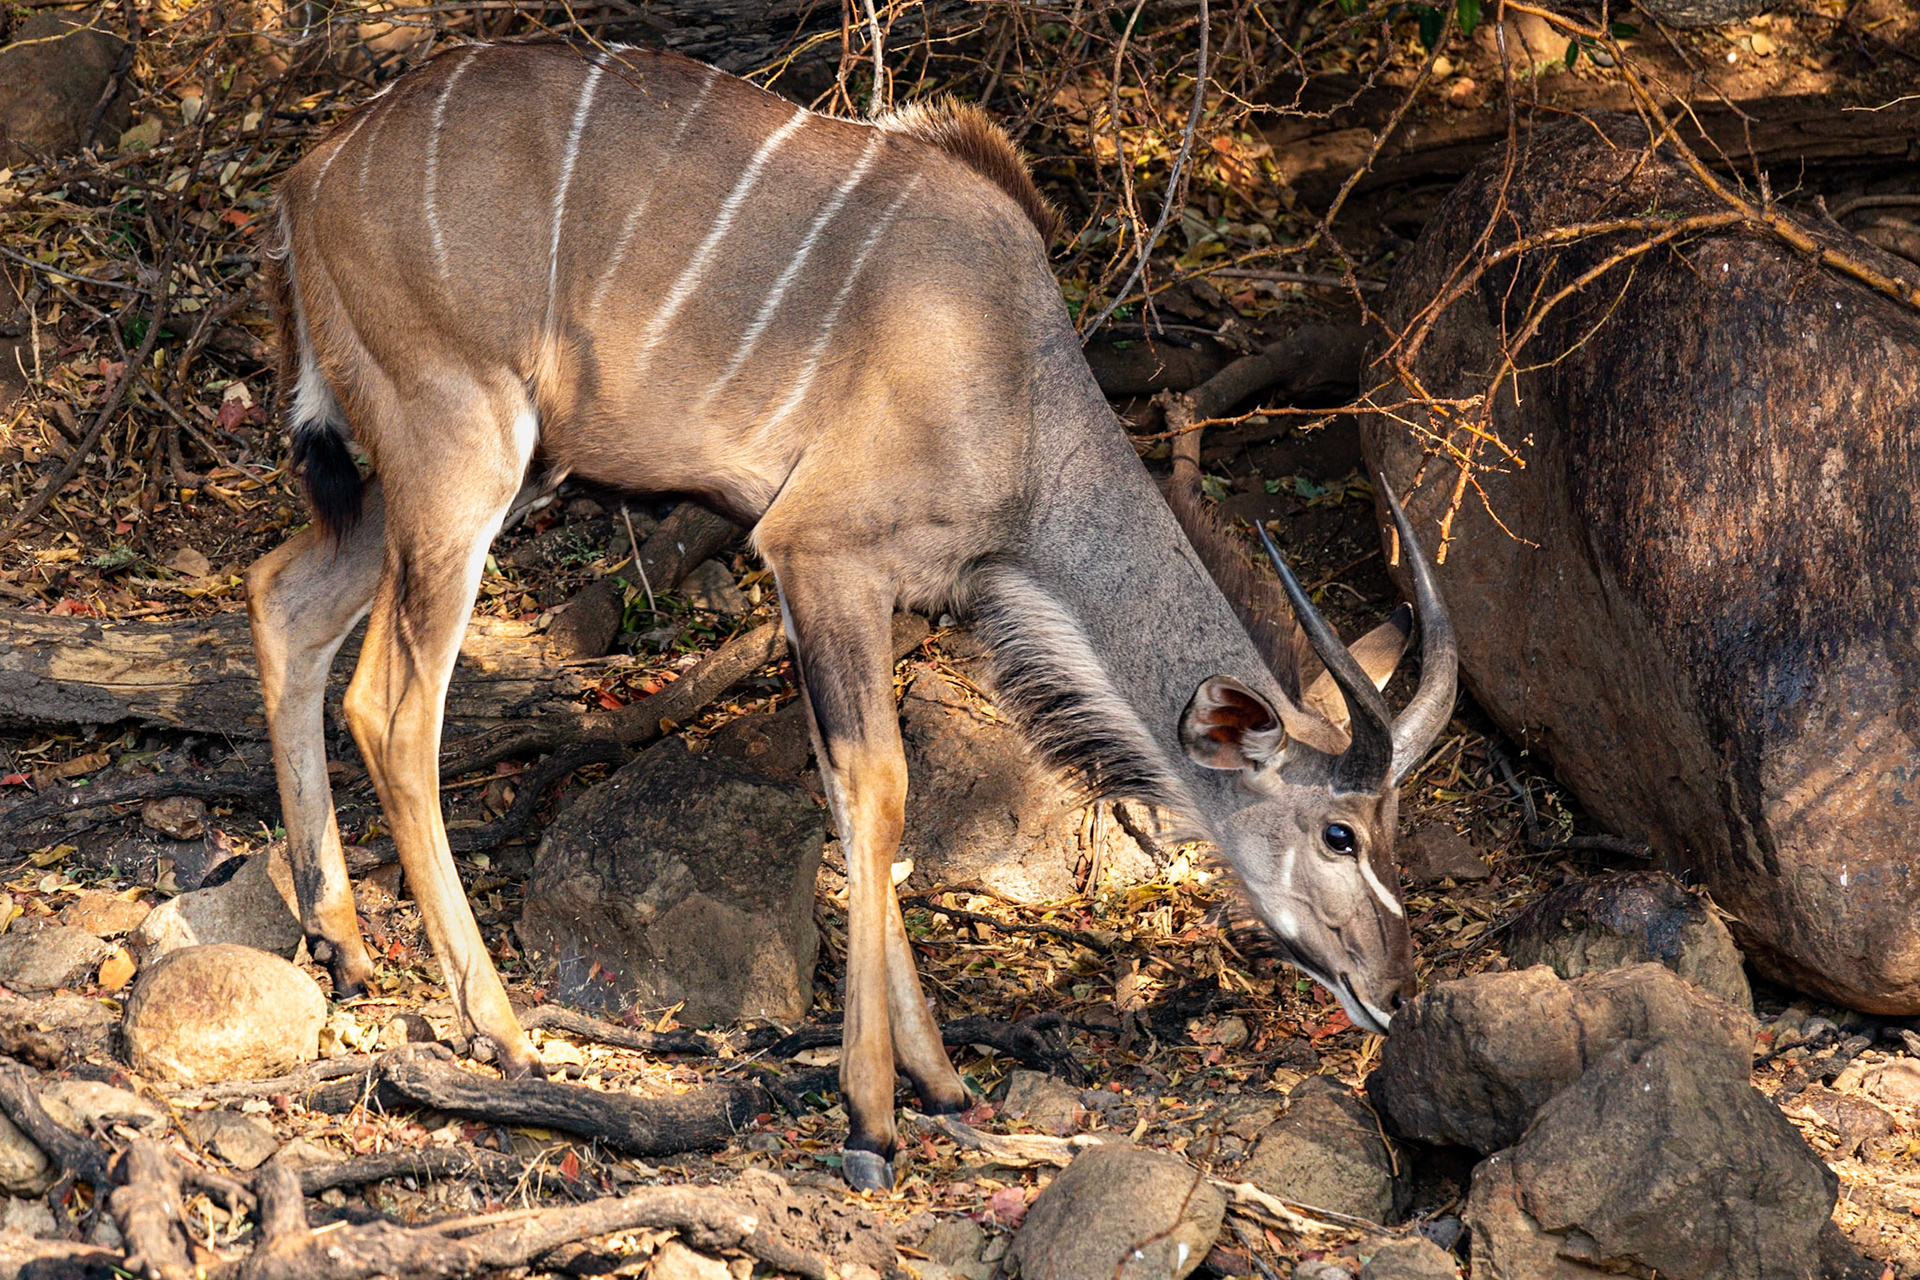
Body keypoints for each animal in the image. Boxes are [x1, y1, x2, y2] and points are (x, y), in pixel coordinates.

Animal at [245, 40, 1457, 1190]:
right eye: (1340, 832)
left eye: (1396, 827)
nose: (1397, 988)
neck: (1016, 392)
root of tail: (307, 178)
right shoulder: (817, 549)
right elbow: (879, 787)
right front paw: (872, 1116)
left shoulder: (855, 583)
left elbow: (851, 792)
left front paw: (943, 1081)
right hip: (461, 450)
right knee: (390, 705)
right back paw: (496, 1028)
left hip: (460, 471)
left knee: (281, 595)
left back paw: (341, 944)